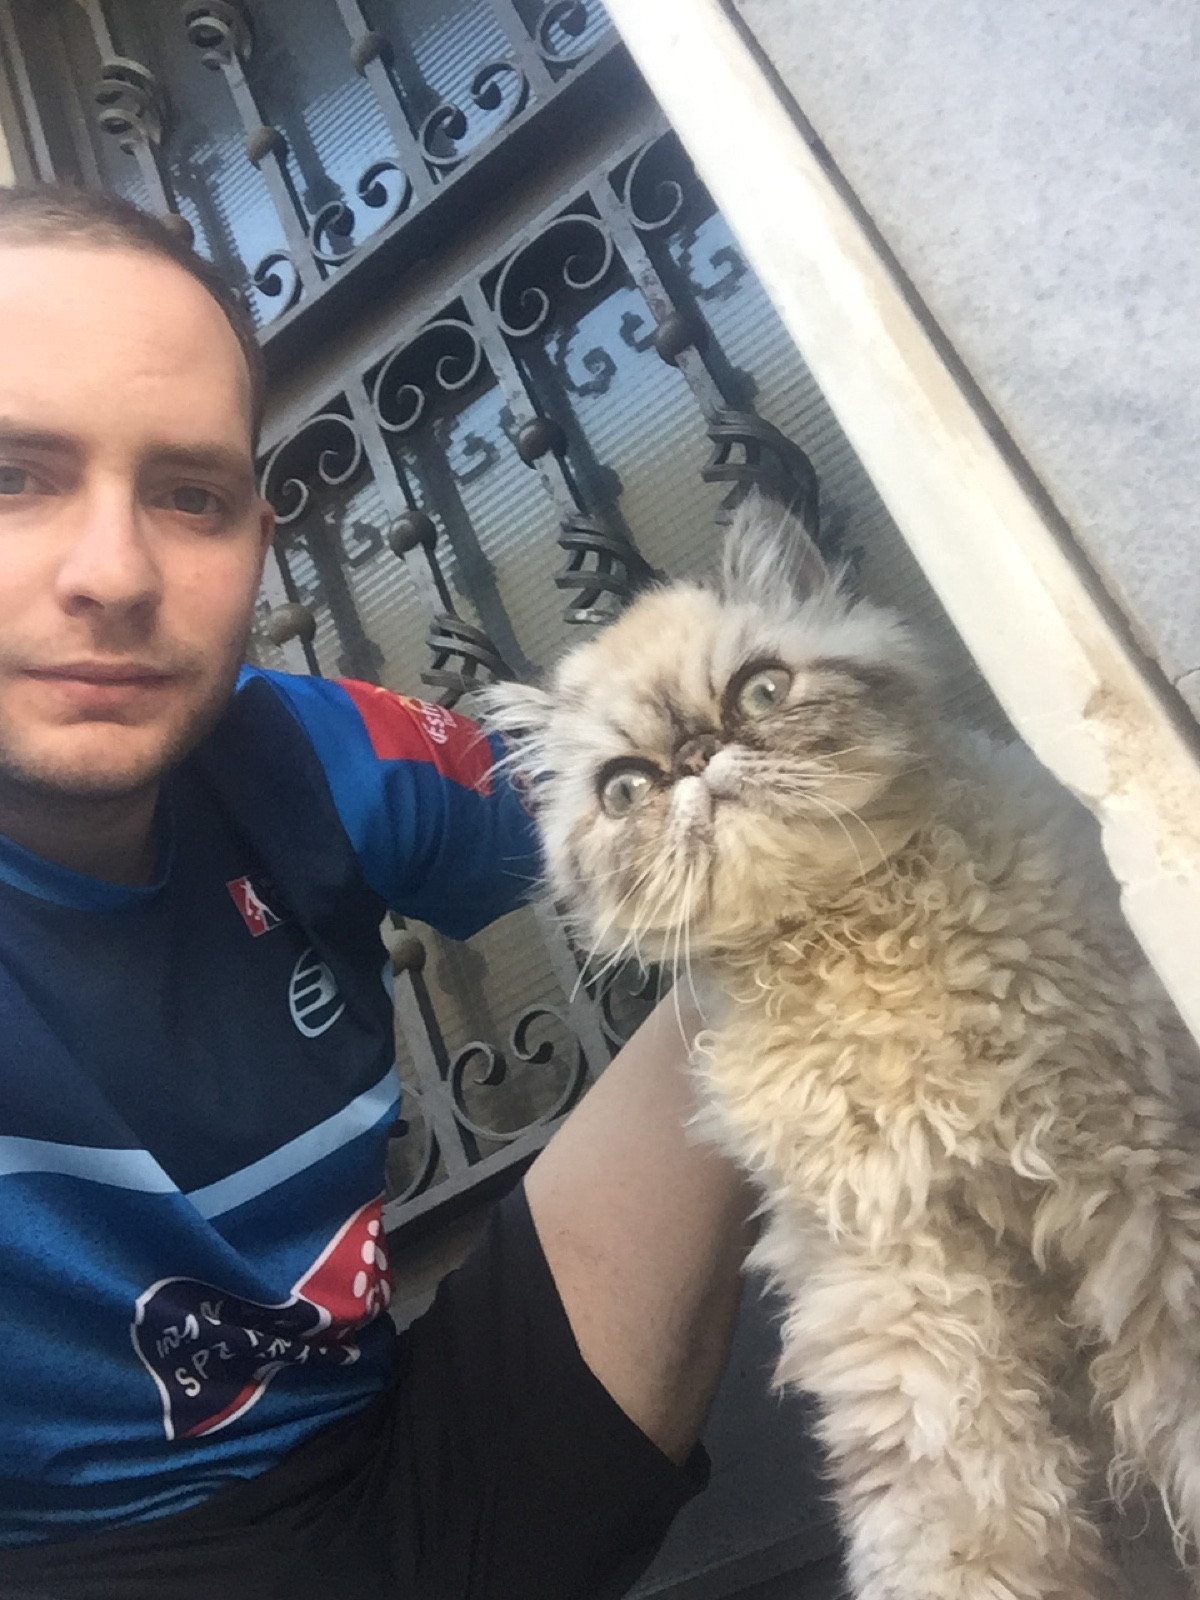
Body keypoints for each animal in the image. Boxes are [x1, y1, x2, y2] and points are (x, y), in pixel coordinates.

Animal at [480, 496, 1200, 1600]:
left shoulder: (1140, 1179)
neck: (856, 947)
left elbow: (1183, 1414)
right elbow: (960, 1514)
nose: (696, 760)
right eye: (627, 789)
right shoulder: (899, 1278)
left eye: (762, 689)